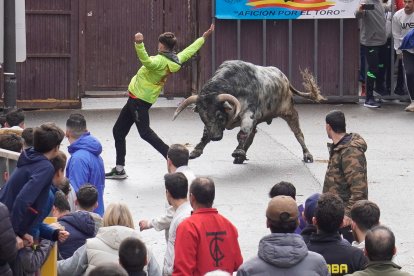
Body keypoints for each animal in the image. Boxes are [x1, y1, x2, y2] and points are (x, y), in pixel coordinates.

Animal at [171, 60, 324, 164]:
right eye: (203, 117)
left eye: (220, 116)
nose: (215, 137)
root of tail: (284, 78)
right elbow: (205, 135)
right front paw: (196, 151)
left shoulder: (248, 114)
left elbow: (242, 133)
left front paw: (237, 151)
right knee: (252, 135)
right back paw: (241, 156)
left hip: (289, 112)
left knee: (298, 134)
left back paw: (307, 155)